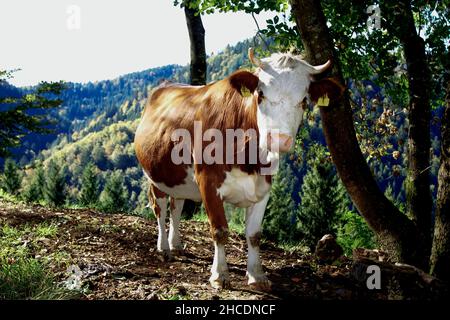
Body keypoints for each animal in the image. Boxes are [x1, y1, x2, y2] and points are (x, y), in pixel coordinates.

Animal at [134, 48, 342, 292]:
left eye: (304, 100)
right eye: (260, 94)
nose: (278, 139)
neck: (248, 158)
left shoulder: (264, 187)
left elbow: (254, 235)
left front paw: (257, 275)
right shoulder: (208, 182)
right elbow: (220, 231)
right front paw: (219, 275)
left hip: (179, 179)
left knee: (177, 207)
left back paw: (176, 245)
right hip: (154, 175)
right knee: (160, 208)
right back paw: (164, 248)